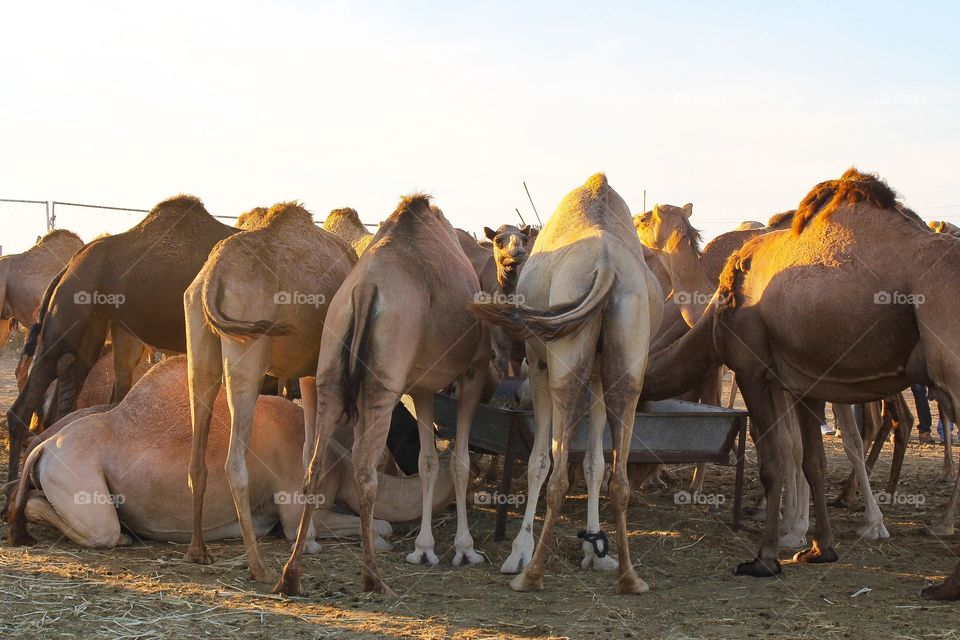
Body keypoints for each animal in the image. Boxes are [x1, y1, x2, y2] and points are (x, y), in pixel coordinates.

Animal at [182, 202, 358, 582]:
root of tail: (212, 275)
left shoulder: (307, 371)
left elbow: (306, 452)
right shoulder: (322, 368)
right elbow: (314, 454)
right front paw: (307, 543)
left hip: (200, 339)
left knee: (198, 452)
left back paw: (197, 551)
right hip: (250, 345)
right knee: (235, 462)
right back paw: (259, 567)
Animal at [273, 194, 490, 596]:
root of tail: (364, 289)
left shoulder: (421, 387)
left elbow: (427, 461)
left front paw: (425, 549)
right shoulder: (474, 372)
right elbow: (459, 461)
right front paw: (464, 549)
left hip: (332, 369)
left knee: (314, 463)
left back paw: (290, 575)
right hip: (383, 384)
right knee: (364, 469)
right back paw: (374, 578)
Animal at [469, 173, 663, 594]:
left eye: (517, 240)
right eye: (498, 240)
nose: (513, 257)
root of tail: (606, 266)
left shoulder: (539, 364)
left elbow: (539, 461)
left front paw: (519, 551)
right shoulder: (599, 375)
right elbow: (593, 463)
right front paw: (594, 549)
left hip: (561, 365)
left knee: (556, 474)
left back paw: (531, 574)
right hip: (626, 361)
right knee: (619, 478)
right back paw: (630, 577)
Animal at [642, 168, 960, 583]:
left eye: (645, 218)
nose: (633, 220)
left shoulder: (752, 369)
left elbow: (776, 456)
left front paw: (768, 552)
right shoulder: (805, 379)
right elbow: (811, 459)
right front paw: (819, 547)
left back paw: (928, 532)